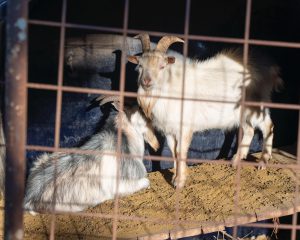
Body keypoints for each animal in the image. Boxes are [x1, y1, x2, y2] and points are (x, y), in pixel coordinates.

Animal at [127, 32, 282, 188]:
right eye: (140, 66)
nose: (146, 82)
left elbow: (180, 151)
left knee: (268, 126)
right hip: (240, 112)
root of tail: (271, 67)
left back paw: (263, 161)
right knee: (249, 130)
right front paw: (176, 176)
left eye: (162, 66)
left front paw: (180, 181)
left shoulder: (185, 128)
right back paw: (237, 159)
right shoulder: (169, 130)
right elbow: (172, 151)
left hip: (255, 105)